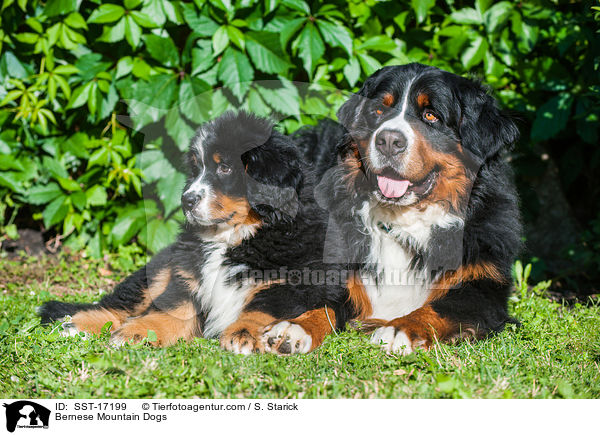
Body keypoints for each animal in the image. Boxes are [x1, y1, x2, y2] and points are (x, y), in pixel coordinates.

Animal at [39, 110, 354, 356]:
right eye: (197, 168)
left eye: (225, 168)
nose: (186, 200)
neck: (234, 238)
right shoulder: (186, 277)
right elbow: (174, 309)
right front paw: (140, 332)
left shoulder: (291, 283)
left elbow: (262, 307)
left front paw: (243, 333)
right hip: (158, 270)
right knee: (120, 305)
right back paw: (76, 324)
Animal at [298, 64, 524, 356]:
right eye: (378, 111)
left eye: (431, 116)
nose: (388, 140)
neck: (404, 220)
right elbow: (323, 301)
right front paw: (294, 327)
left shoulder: (481, 286)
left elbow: (437, 309)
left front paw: (399, 329)